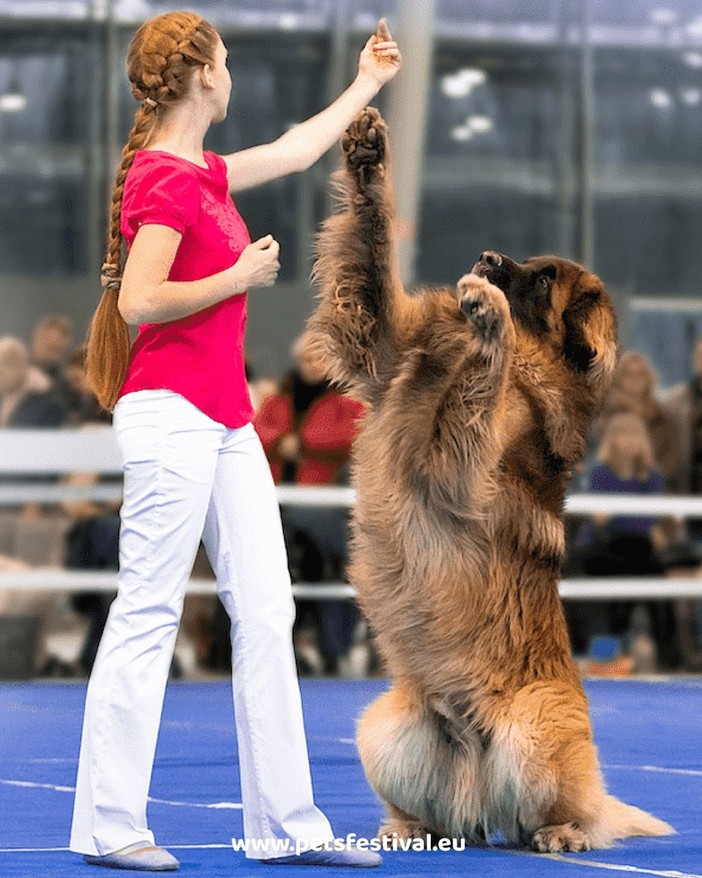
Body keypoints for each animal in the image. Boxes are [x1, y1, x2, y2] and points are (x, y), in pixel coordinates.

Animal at [308, 106, 676, 856]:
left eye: (541, 280)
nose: (485, 260)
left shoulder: (458, 462)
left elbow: (477, 381)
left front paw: (492, 323)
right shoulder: (386, 345)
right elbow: (373, 257)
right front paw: (367, 155)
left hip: (537, 730)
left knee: (564, 812)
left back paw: (564, 833)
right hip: (386, 725)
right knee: (439, 811)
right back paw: (408, 828)